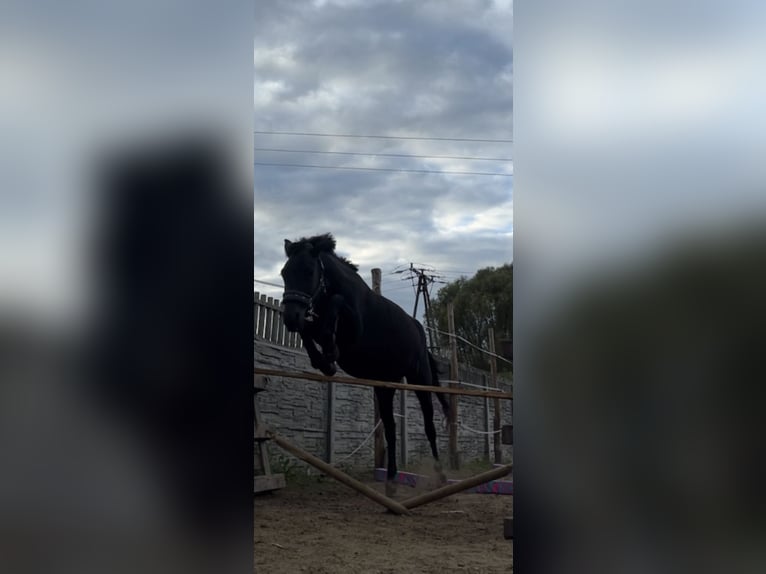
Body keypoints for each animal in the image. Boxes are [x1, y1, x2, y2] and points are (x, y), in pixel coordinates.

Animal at [280, 233, 450, 496]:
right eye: (284, 274)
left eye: (309, 272)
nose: (290, 317)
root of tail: (420, 330)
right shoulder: (313, 325)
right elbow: (308, 330)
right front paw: (325, 362)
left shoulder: (353, 332)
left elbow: (334, 306)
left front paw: (330, 351)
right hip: (384, 386)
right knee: (390, 430)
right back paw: (390, 482)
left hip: (419, 380)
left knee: (429, 426)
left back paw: (440, 476)